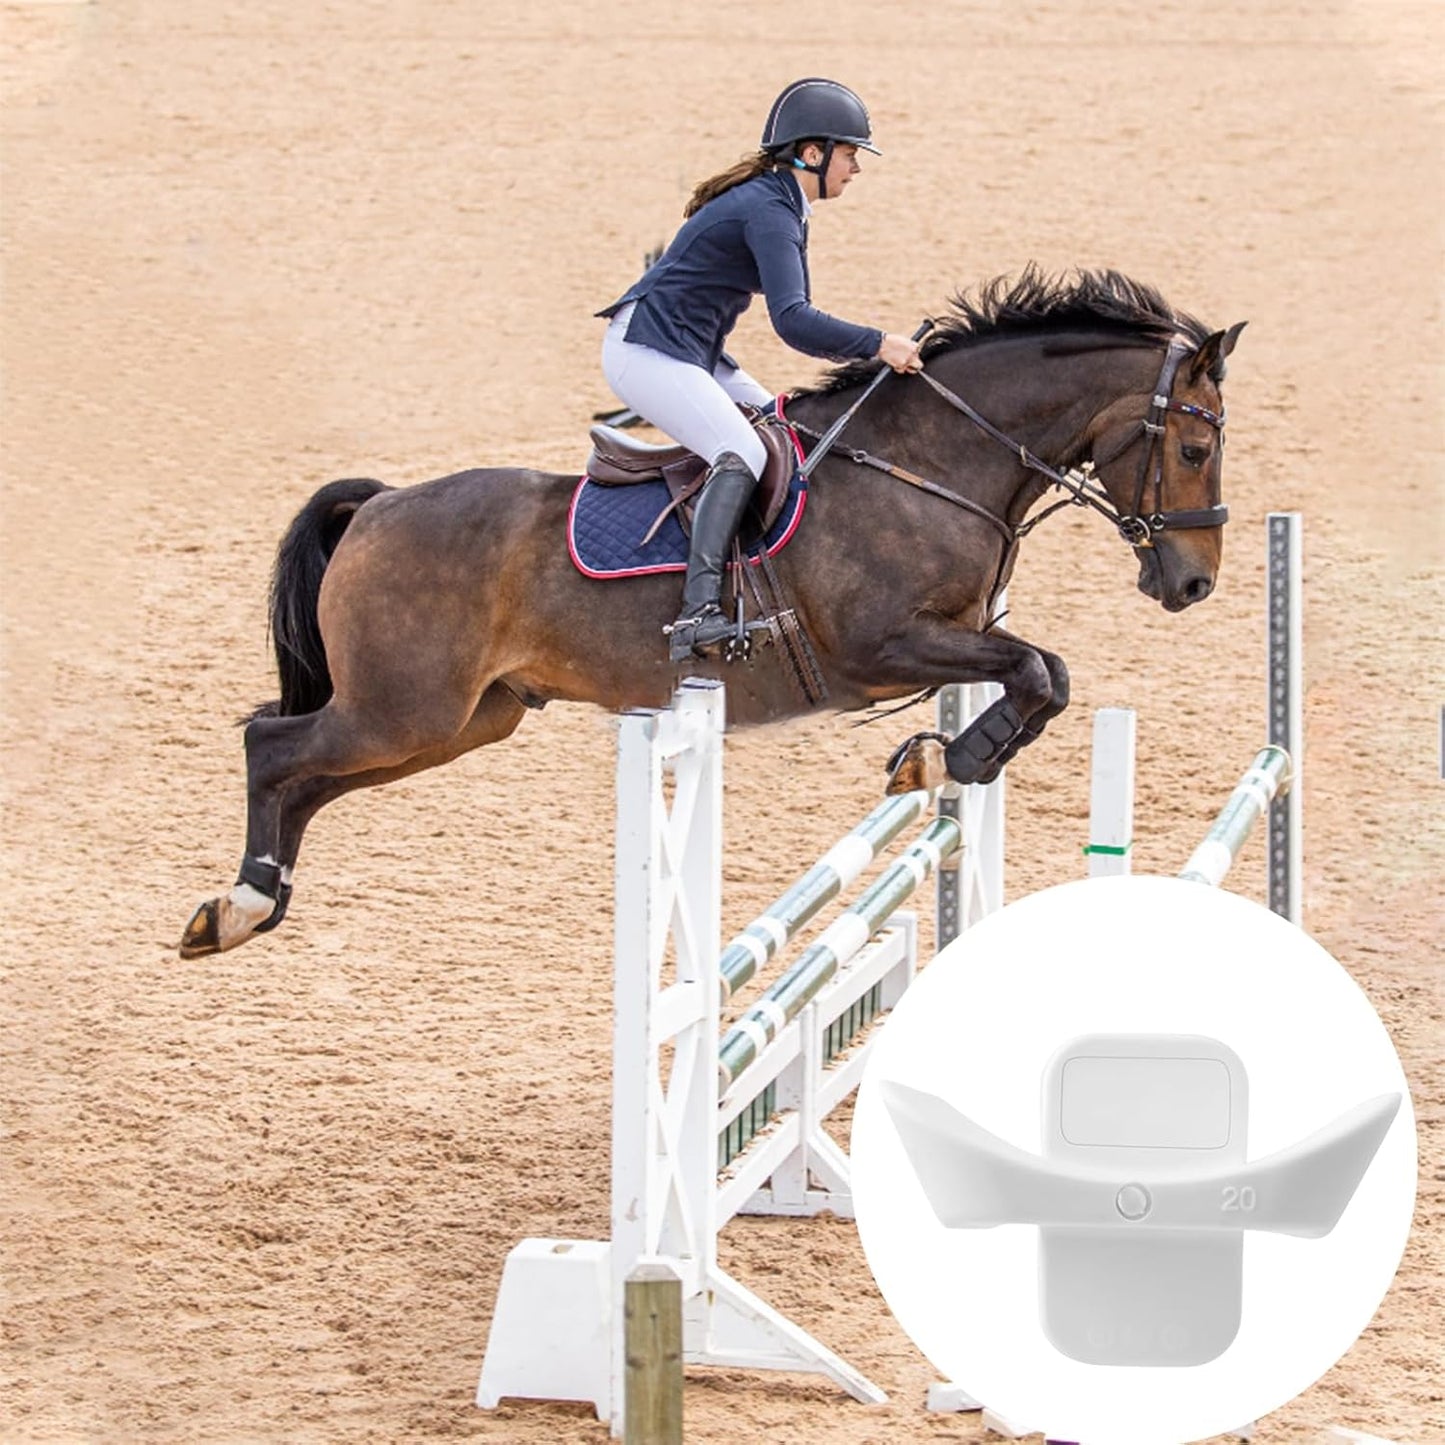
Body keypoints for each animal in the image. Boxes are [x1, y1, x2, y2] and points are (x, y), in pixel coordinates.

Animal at [179, 268, 1244, 958]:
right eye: (1194, 451)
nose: (1193, 583)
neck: (930, 463)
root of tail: (381, 504)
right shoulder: (884, 646)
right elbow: (1037, 670)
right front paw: (946, 758)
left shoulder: (958, 634)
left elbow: (1044, 674)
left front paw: (939, 757)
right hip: (403, 710)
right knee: (272, 746)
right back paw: (237, 904)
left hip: (460, 722)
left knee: (307, 781)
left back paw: (253, 904)